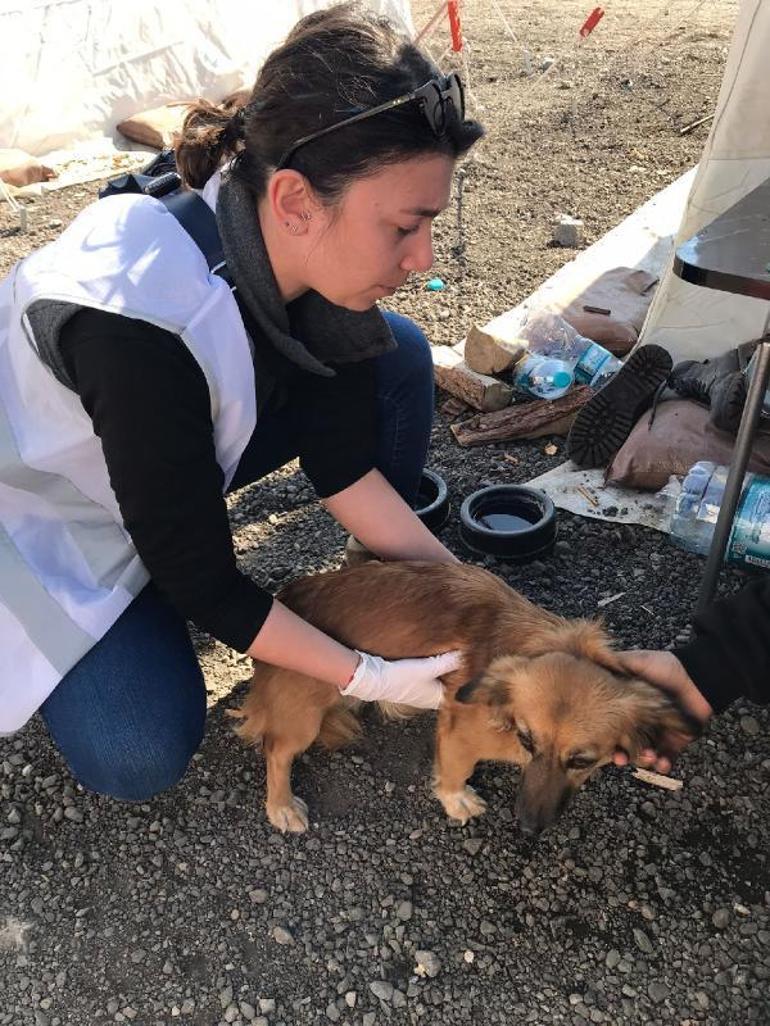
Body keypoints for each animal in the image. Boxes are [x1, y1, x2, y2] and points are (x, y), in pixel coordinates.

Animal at [232, 562, 698, 833]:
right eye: (526, 740)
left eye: (582, 760)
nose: (527, 829)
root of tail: (289, 597)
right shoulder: (460, 732)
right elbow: (456, 770)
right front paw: (456, 800)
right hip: (304, 714)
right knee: (276, 750)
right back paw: (281, 805)